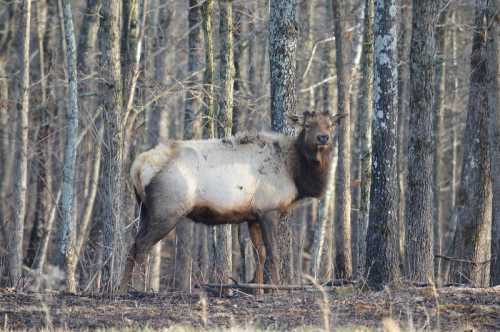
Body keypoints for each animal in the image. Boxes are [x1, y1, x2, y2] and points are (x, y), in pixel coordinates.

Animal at [120, 111, 344, 290]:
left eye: (330, 124)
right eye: (307, 125)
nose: (323, 137)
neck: (295, 174)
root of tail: (137, 166)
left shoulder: (253, 216)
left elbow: (260, 254)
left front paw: (259, 290)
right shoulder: (269, 209)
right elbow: (273, 253)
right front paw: (276, 289)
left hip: (145, 209)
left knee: (133, 243)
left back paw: (122, 287)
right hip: (167, 210)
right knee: (142, 245)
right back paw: (139, 288)